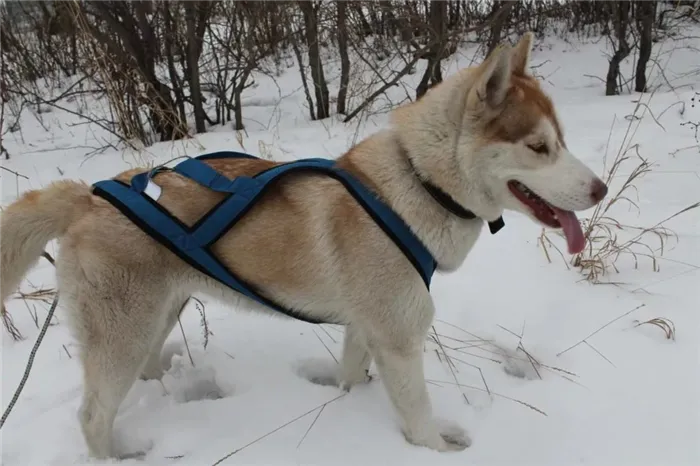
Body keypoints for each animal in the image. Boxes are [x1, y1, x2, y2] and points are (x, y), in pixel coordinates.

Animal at [0, 33, 608, 458]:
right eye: (538, 147)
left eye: (561, 141)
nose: (601, 190)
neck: (415, 184)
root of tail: (88, 196)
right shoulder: (400, 340)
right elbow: (419, 419)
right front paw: (436, 448)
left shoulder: (365, 330)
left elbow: (350, 378)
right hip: (121, 337)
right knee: (93, 416)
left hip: (158, 317)